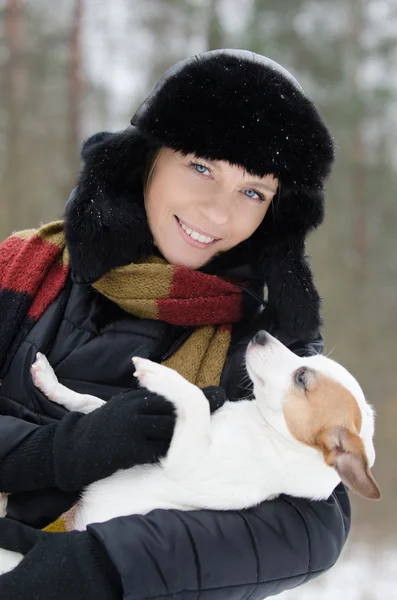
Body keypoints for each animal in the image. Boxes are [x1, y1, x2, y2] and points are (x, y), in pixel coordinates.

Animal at [0, 332, 378, 572]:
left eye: (301, 378)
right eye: (306, 358)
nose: (261, 334)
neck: (263, 429)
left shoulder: (187, 463)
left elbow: (195, 398)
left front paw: (160, 374)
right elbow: (90, 404)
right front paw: (51, 382)